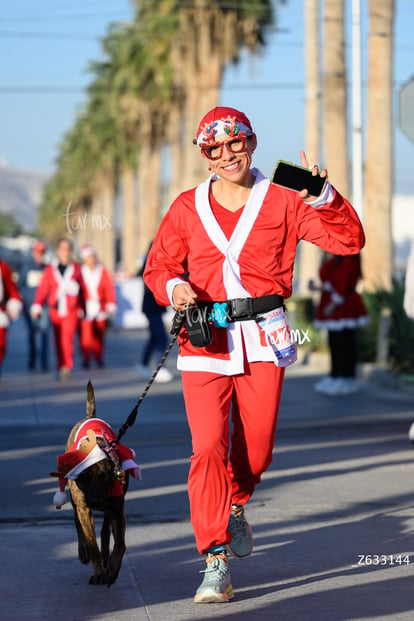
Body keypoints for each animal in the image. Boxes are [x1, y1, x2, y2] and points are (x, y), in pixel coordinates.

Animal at [49, 380, 141, 584]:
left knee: (105, 530)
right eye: (84, 477)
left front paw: (112, 569)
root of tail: (89, 416)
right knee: (77, 523)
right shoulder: (84, 507)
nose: (96, 501)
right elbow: (92, 544)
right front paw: (98, 570)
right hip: (75, 501)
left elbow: (120, 544)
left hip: (109, 509)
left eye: (106, 475)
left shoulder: (117, 510)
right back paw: (84, 552)